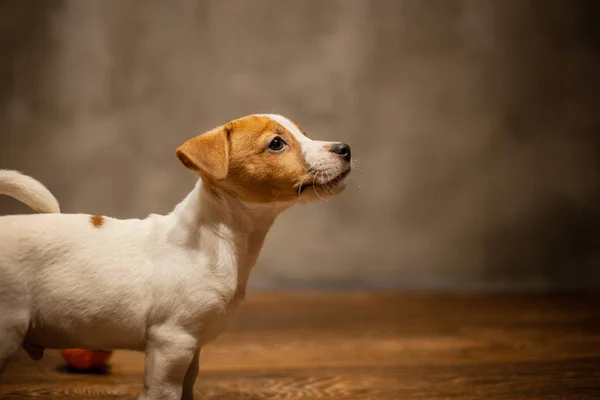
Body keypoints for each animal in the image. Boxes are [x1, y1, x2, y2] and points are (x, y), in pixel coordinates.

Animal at [0, 113, 352, 400]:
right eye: (277, 143)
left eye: (304, 133)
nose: (345, 148)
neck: (217, 239)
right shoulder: (171, 343)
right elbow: (163, 392)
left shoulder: (191, 348)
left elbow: (188, 387)